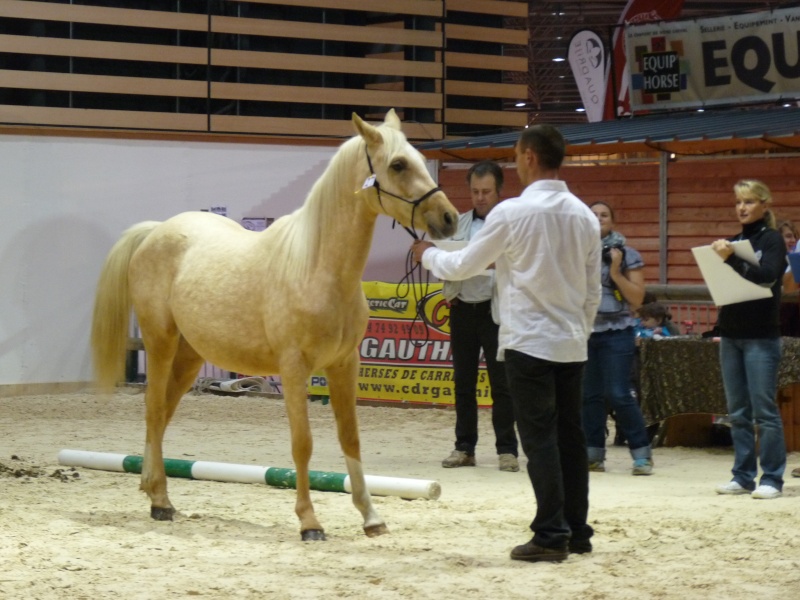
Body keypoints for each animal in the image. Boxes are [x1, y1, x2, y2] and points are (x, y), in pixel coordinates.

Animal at [90, 109, 456, 540]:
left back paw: (153, 491)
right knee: (152, 411)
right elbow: (303, 444)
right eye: (398, 164)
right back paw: (161, 500)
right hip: (160, 343)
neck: (315, 266)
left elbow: (350, 438)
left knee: (162, 416)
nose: (449, 218)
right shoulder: (294, 368)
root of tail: (155, 231)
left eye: (420, 159)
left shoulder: (345, 365)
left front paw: (371, 517)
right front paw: (309, 522)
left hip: (190, 356)